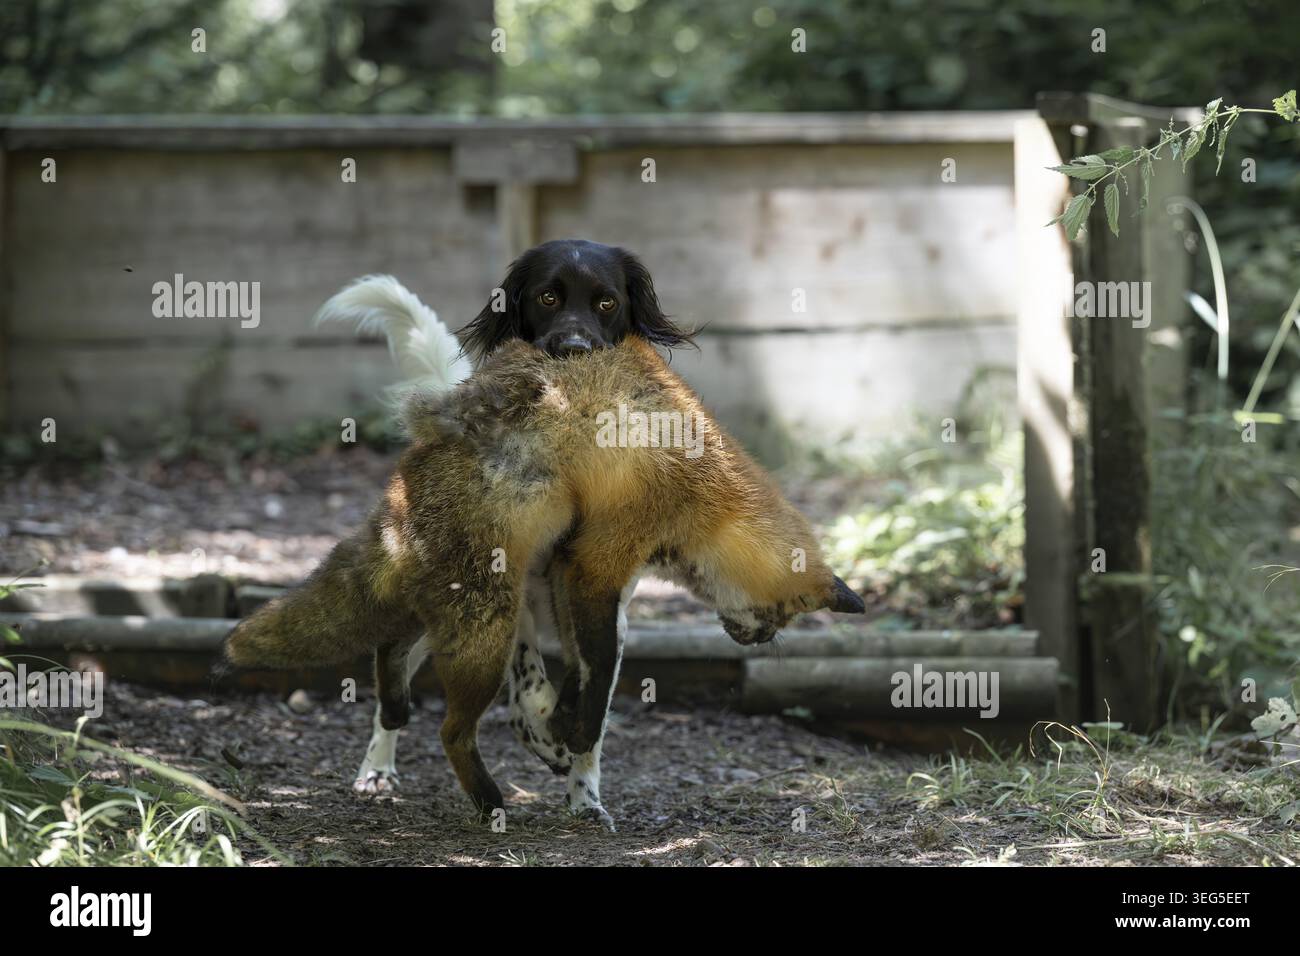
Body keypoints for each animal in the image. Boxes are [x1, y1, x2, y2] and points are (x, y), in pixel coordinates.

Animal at [223, 330, 865, 822]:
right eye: (782, 616)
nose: (758, 640)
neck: (708, 493)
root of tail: (401, 497)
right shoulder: (597, 562)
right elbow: (598, 670)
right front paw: (573, 734)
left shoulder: (564, 573)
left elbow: (582, 670)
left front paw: (564, 729)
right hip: (488, 627)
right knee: (450, 730)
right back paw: (488, 801)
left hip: (462, 608)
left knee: (392, 647)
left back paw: (405, 711)